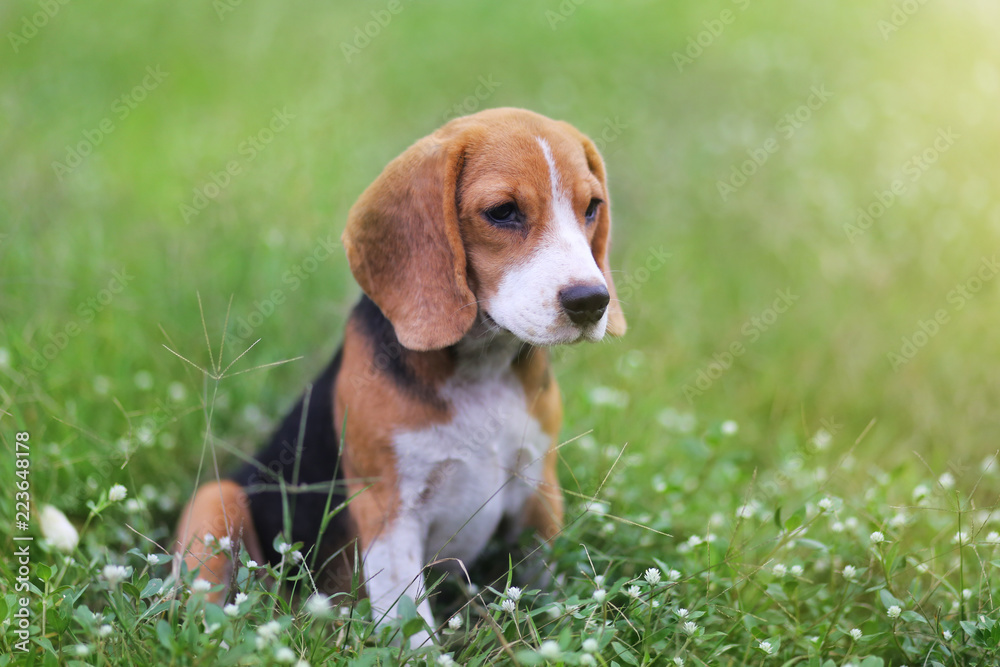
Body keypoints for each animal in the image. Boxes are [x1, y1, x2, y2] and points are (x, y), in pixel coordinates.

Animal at [173, 107, 624, 644]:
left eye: (592, 207)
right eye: (502, 212)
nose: (591, 301)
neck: (482, 370)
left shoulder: (539, 492)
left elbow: (544, 579)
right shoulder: (389, 514)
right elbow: (411, 624)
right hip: (216, 501)